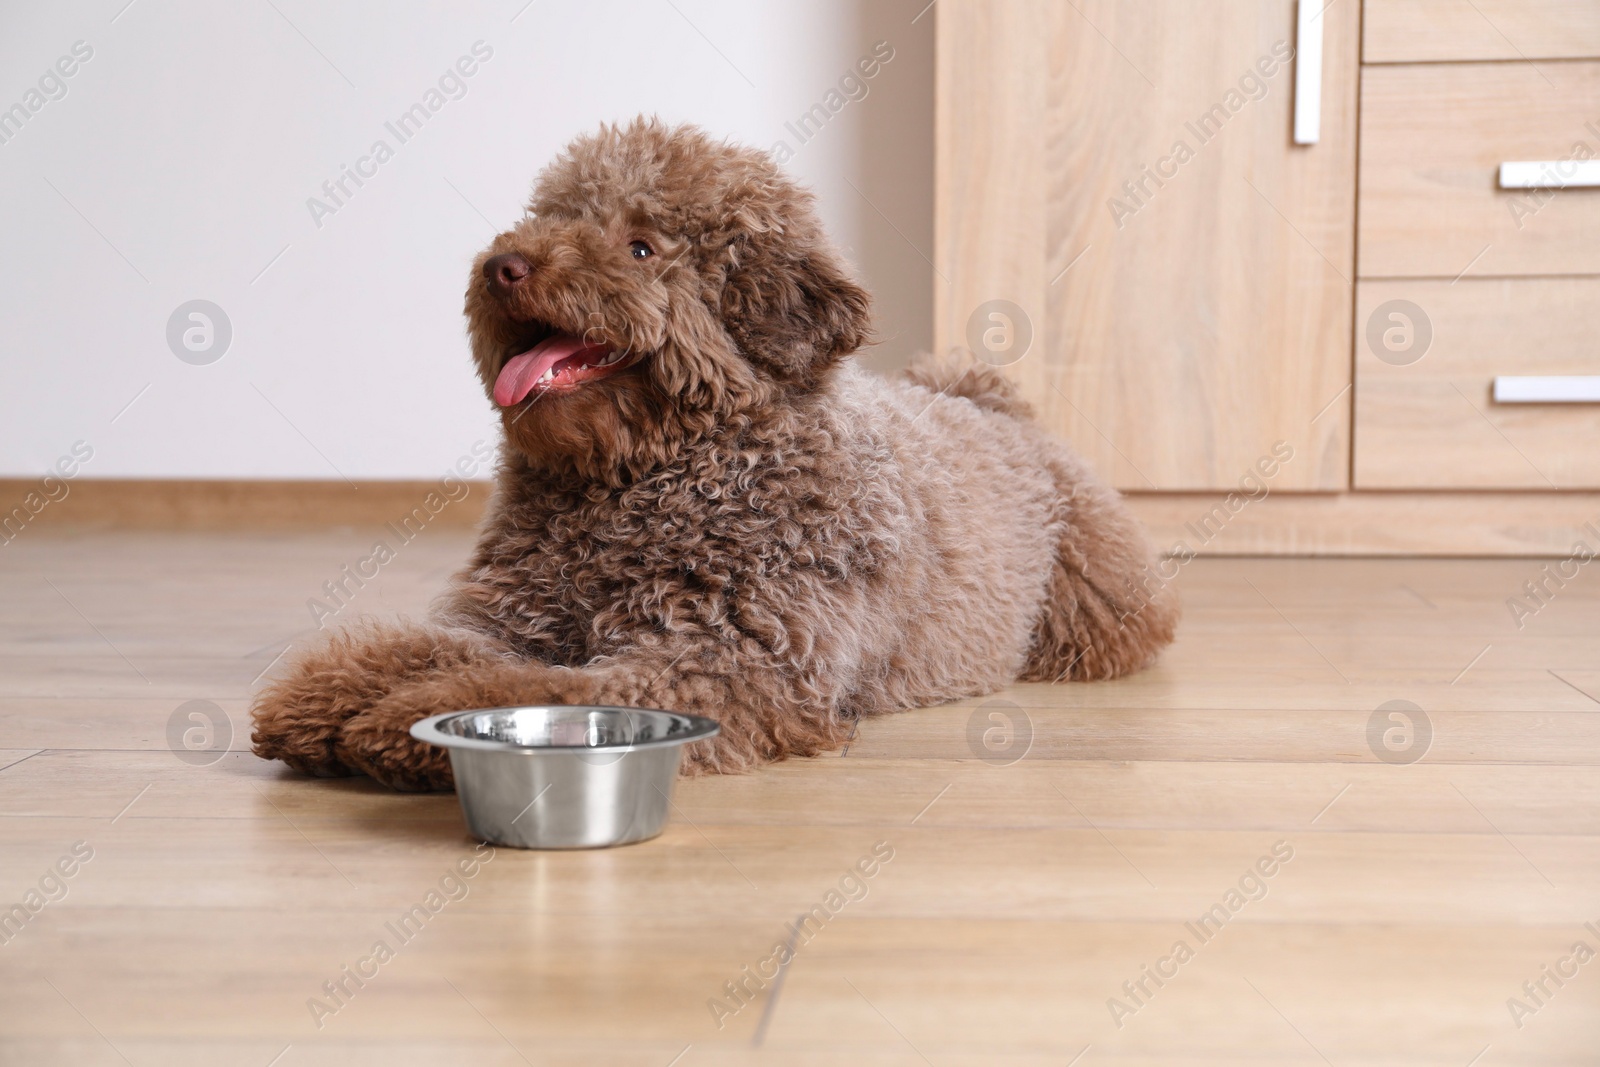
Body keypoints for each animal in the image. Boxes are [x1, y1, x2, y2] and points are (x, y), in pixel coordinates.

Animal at [249, 119, 1177, 793]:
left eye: (641, 246)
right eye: (552, 215)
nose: (503, 265)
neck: (643, 480)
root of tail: (983, 399)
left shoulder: (735, 663)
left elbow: (554, 688)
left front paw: (404, 721)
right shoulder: (507, 618)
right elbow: (424, 646)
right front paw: (330, 695)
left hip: (1095, 607)